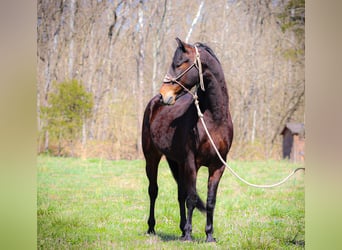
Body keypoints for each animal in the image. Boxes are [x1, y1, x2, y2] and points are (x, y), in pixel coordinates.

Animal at [141, 37, 232, 242]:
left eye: (180, 63)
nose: (164, 95)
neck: (213, 118)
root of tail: (153, 104)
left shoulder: (217, 166)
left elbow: (210, 200)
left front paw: (209, 236)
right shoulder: (192, 163)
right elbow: (192, 198)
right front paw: (189, 236)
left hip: (177, 162)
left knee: (180, 193)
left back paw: (182, 229)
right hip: (152, 158)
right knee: (153, 191)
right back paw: (152, 228)